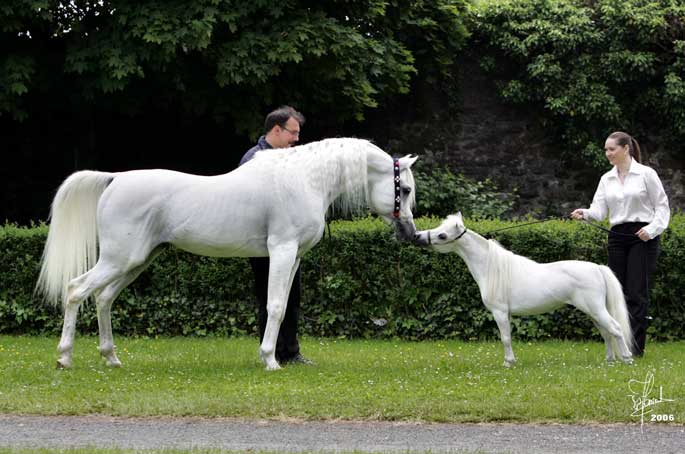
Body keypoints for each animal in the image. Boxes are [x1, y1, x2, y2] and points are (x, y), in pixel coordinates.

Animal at [36, 137, 416, 368]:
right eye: (406, 189)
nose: (410, 232)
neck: (304, 180)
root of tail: (115, 178)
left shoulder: (294, 259)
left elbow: (285, 307)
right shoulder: (281, 251)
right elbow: (274, 306)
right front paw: (270, 360)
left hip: (137, 261)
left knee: (103, 299)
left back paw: (111, 358)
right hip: (118, 259)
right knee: (76, 290)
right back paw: (64, 358)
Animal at [412, 215, 632, 368]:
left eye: (442, 235)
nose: (417, 237)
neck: (491, 267)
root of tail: (598, 268)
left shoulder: (500, 312)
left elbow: (505, 338)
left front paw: (508, 363)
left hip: (596, 309)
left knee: (615, 329)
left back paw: (627, 358)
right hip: (593, 312)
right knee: (606, 333)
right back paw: (609, 360)